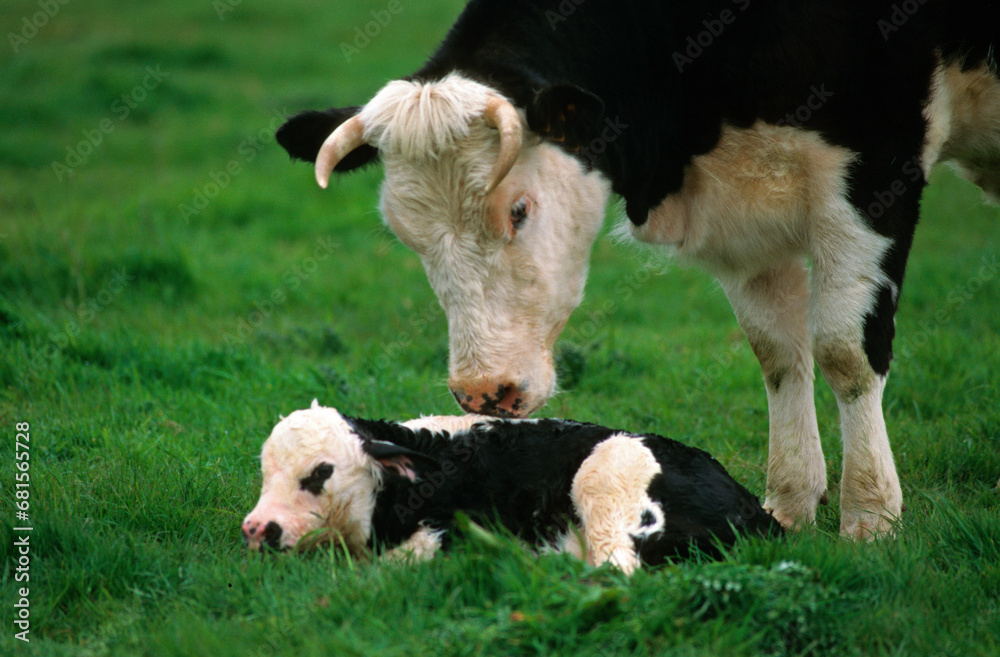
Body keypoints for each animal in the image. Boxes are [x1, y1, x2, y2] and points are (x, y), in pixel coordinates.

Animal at [241, 401, 783, 572]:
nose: (257, 528)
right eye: (266, 472)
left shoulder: (456, 530)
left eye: (320, 472)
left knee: (616, 570)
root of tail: (760, 514)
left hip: (608, 478)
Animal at [274, 0, 1000, 539]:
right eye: (406, 233)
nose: (483, 392)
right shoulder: (747, 224)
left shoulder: (876, 166)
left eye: (518, 209)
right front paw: (793, 500)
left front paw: (870, 515)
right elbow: (780, 353)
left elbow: (846, 351)